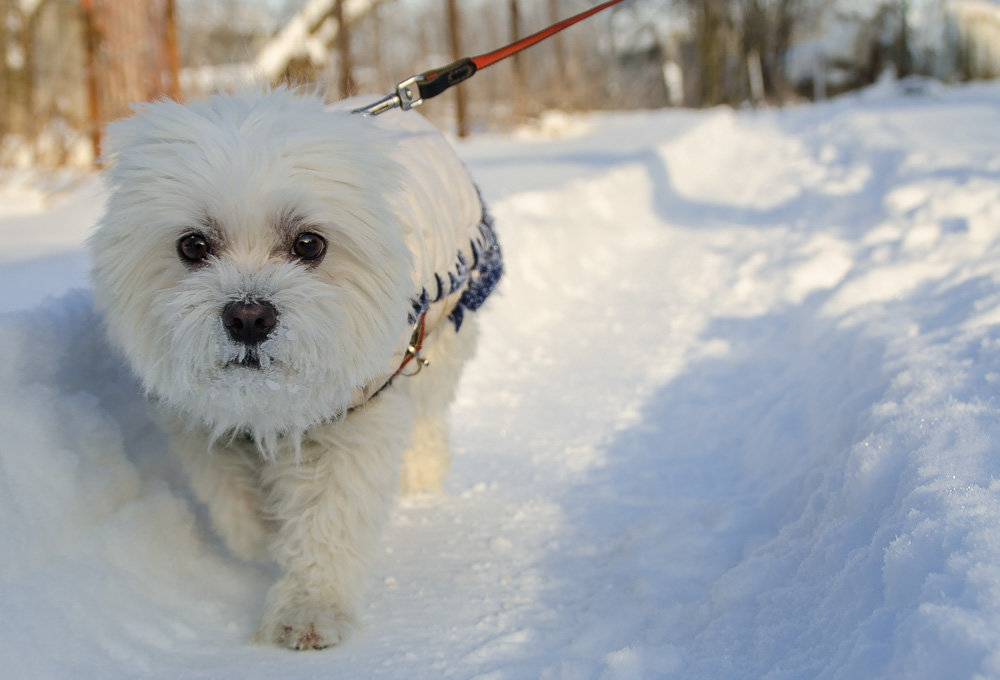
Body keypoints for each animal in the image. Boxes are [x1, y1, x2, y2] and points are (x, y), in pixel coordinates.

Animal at [88, 87, 500, 652]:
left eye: (309, 244)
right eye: (192, 245)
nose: (248, 317)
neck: (266, 401)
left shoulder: (356, 419)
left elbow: (328, 523)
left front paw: (309, 611)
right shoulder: (202, 426)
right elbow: (236, 507)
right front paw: (266, 535)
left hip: (440, 337)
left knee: (429, 425)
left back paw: (421, 479)